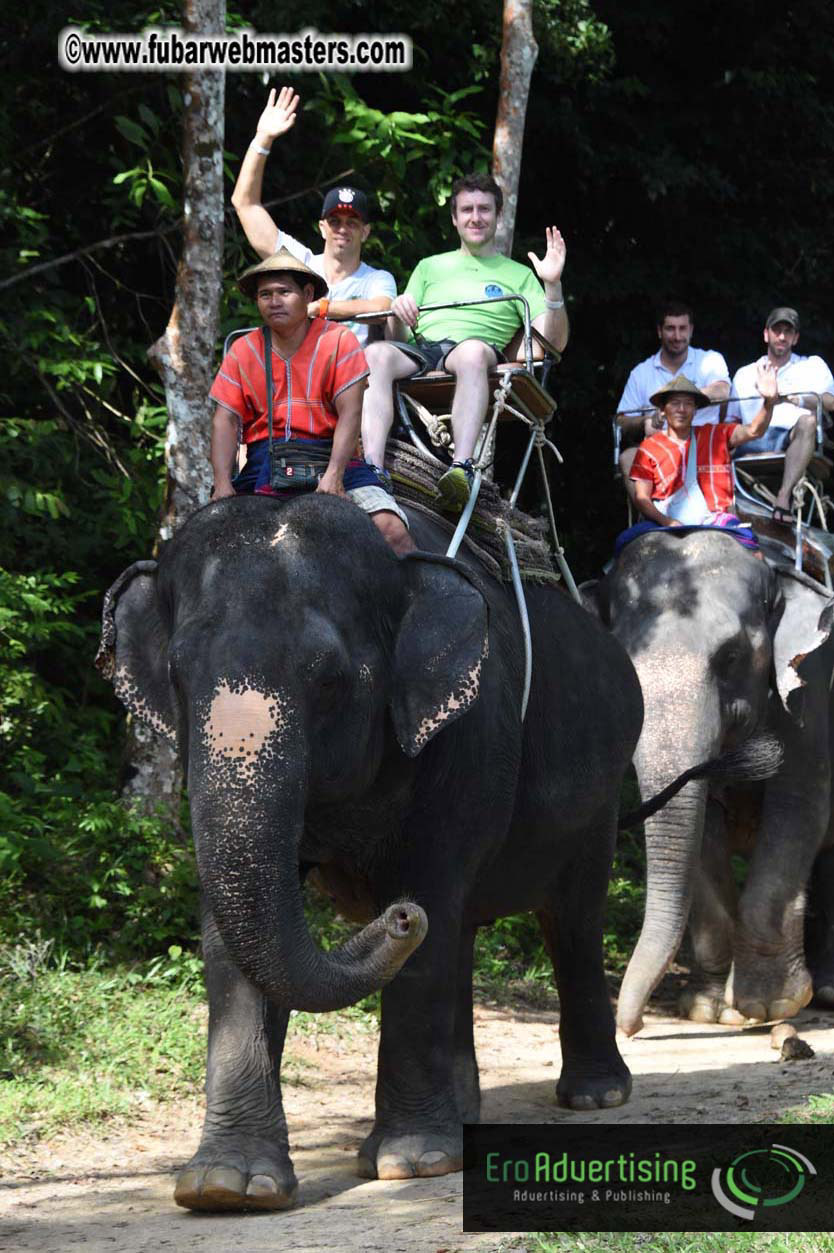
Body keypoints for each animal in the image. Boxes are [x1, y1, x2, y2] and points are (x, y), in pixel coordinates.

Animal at [97, 490, 714, 1213]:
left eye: (329, 679)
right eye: (176, 675)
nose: (397, 917)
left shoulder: (467, 734)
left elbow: (429, 887)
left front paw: (411, 1162)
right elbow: (230, 933)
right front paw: (226, 1186)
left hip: (601, 784)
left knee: (567, 919)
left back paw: (595, 1094)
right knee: (464, 931)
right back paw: (466, 1112)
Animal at [582, 527, 834, 1037]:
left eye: (731, 656)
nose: (630, 1028)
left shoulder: (812, 688)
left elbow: (799, 807)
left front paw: (769, 1005)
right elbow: (703, 832)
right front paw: (709, 1010)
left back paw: (829, 992)